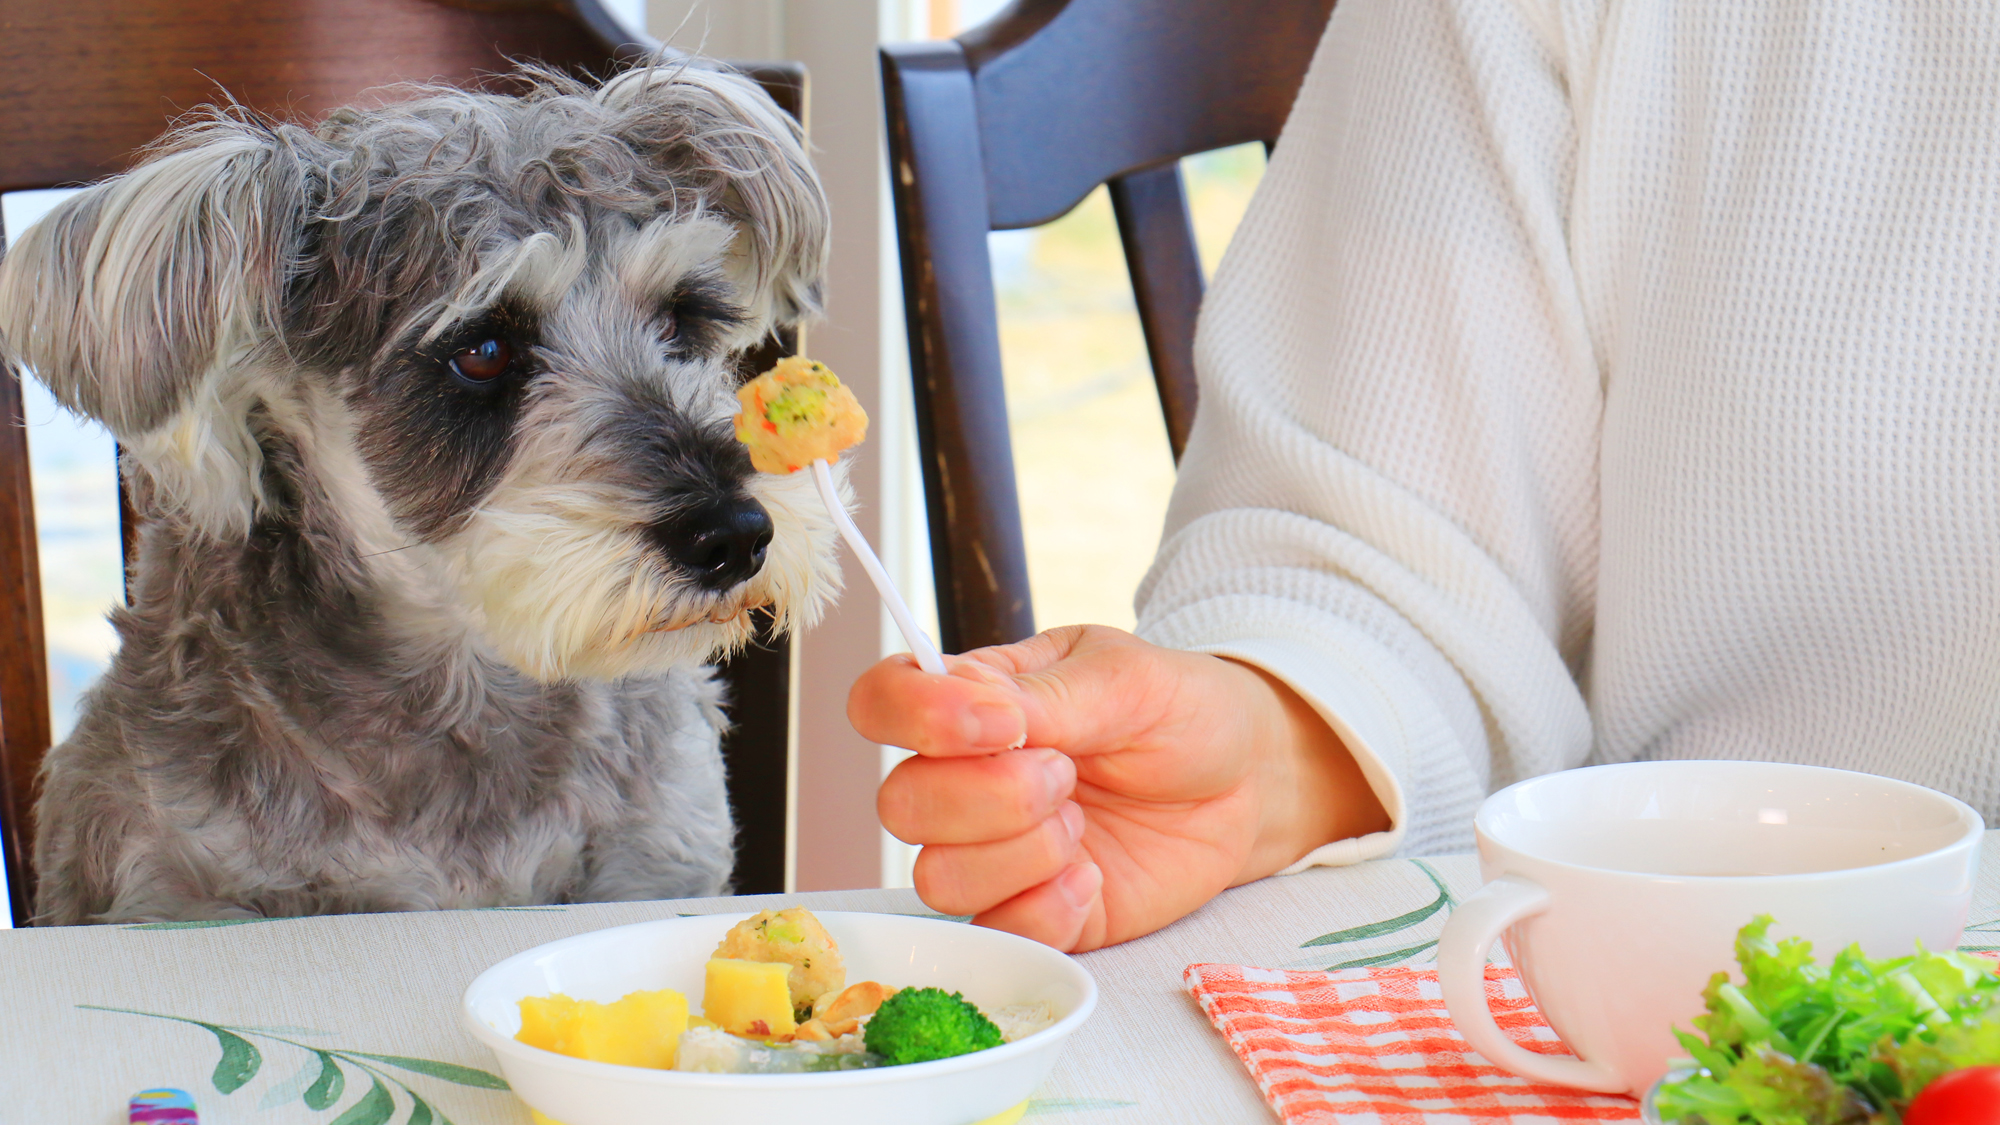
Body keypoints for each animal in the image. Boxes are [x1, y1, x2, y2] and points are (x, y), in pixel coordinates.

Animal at [0, 57, 840, 924]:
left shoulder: (659, 855)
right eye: (482, 350)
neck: (467, 679)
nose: (733, 534)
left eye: (681, 316)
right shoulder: (173, 884)